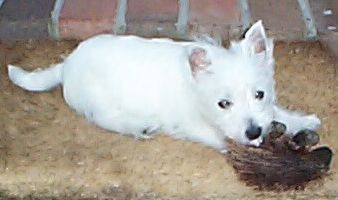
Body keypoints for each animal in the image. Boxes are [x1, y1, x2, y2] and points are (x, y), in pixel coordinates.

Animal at [7, 21, 320, 149]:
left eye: (259, 94)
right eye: (223, 104)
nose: (254, 131)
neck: (194, 89)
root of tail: (66, 64)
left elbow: (276, 111)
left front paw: (302, 120)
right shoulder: (191, 124)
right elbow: (220, 137)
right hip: (100, 102)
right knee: (105, 119)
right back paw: (139, 126)